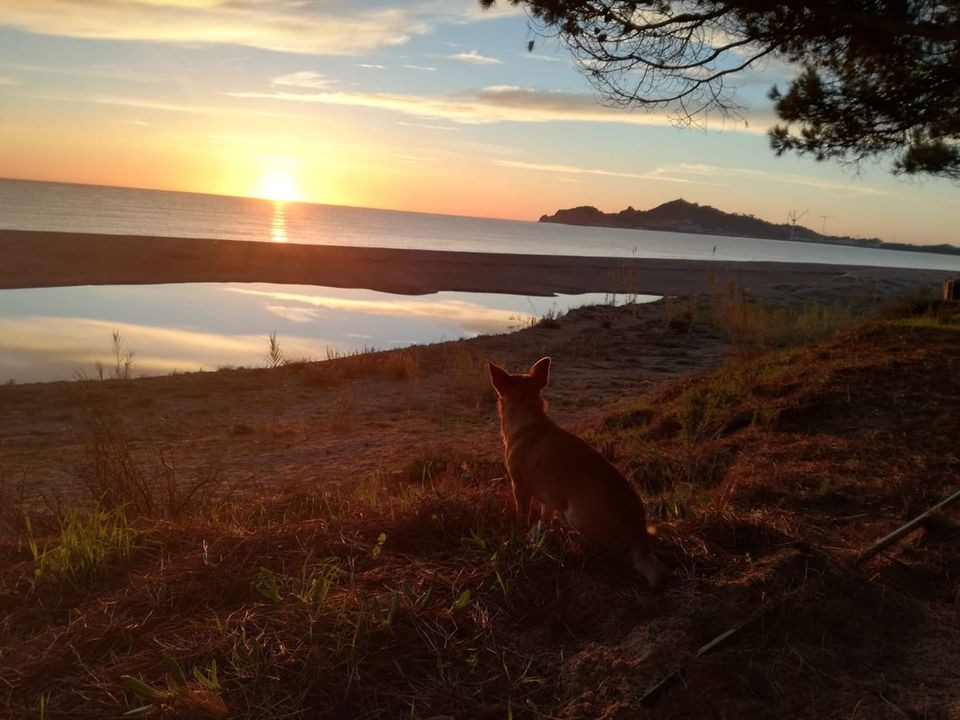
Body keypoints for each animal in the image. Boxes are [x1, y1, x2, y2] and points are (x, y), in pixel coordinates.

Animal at [488, 358, 668, 588]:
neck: (530, 421)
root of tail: (639, 537)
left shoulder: (519, 488)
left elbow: (523, 516)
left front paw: (521, 535)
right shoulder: (550, 497)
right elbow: (544, 518)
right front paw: (539, 536)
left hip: (575, 516)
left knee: (610, 552)